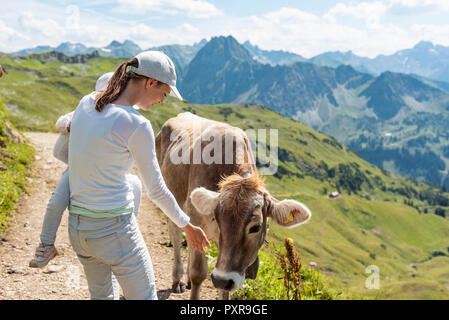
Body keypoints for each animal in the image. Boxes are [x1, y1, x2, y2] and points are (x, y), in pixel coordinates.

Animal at [156, 112, 310, 300]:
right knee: (176, 235)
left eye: (256, 227)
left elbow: (224, 290)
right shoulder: (196, 219)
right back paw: (178, 280)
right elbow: (198, 272)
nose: (221, 280)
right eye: (218, 220)